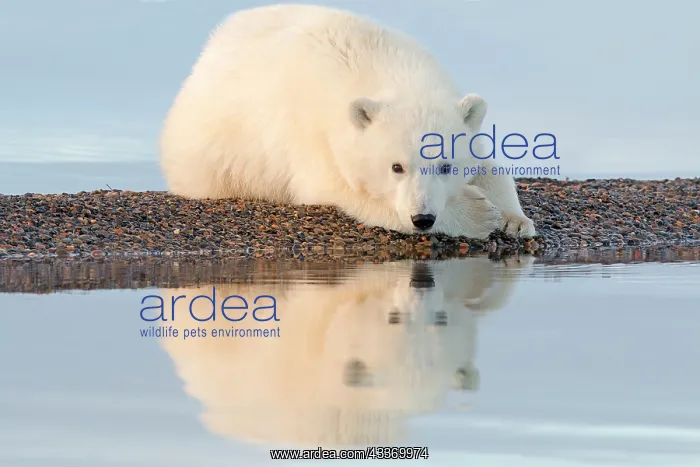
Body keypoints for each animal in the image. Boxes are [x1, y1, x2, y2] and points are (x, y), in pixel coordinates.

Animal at [160, 4, 536, 239]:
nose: (423, 218)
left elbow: (489, 163)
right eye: (396, 167)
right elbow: (338, 189)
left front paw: (516, 221)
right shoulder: (311, 132)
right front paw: (479, 214)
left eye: (445, 166)